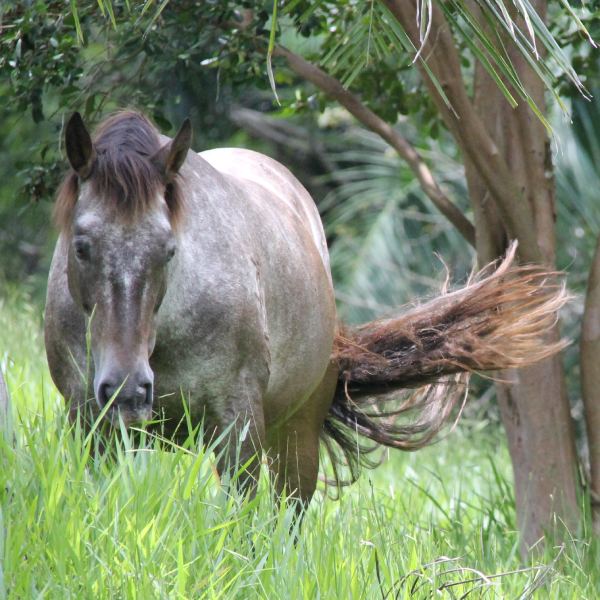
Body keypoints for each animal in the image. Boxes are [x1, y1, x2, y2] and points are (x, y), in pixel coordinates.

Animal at [47, 110, 568, 504]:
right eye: (82, 246)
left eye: (168, 250)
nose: (127, 389)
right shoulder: (90, 425)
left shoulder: (239, 428)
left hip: (295, 439)